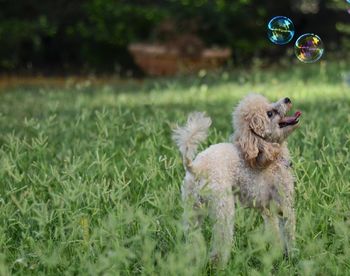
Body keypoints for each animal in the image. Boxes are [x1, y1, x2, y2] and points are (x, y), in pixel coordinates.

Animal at [172, 94, 300, 266]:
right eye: (269, 114)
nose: (287, 99)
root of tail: (197, 168)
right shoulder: (284, 203)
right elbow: (288, 231)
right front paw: (292, 257)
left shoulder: (266, 209)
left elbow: (273, 231)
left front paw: (276, 254)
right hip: (223, 207)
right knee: (221, 239)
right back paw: (219, 264)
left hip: (192, 210)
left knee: (193, 238)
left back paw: (193, 262)